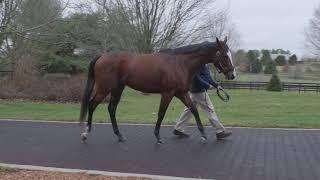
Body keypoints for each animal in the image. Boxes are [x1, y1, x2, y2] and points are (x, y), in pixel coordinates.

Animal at [79, 36, 235, 143]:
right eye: (225, 55)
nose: (232, 75)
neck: (180, 63)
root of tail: (102, 56)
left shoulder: (181, 93)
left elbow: (194, 110)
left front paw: (203, 134)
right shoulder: (168, 93)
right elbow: (161, 113)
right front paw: (158, 136)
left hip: (118, 88)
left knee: (111, 108)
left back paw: (120, 135)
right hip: (105, 88)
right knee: (92, 105)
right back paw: (86, 133)